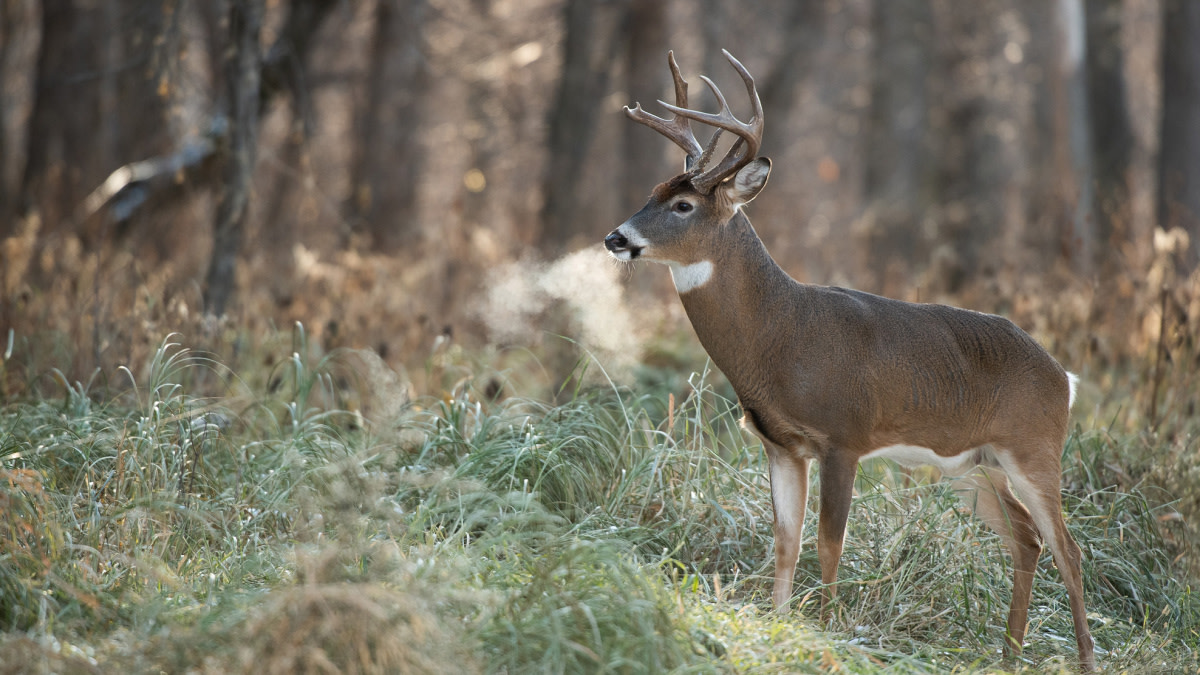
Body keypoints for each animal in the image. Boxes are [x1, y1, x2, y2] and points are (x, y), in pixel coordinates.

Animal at [600, 49, 1099, 667]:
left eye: (684, 204)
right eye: (652, 190)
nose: (615, 238)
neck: (780, 336)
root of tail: (1064, 377)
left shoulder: (844, 436)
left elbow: (829, 542)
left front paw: (827, 630)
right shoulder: (782, 445)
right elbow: (785, 542)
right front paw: (780, 628)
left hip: (1033, 447)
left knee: (1069, 547)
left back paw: (1083, 659)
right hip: (973, 465)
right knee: (1028, 540)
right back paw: (1008, 656)